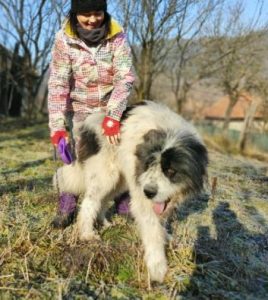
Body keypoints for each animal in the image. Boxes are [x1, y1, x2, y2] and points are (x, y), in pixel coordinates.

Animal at [55, 100, 209, 282]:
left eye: (170, 171)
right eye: (148, 165)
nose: (149, 192)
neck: (170, 131)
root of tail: (90, 122)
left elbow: (161, 221)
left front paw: (165, 237)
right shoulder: (143, 195)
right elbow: (152, 229)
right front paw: (157, 267)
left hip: (119, 179)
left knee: (103, 200)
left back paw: (104, 222)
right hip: (106, 176)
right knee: (89, 203)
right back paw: (87, 233)